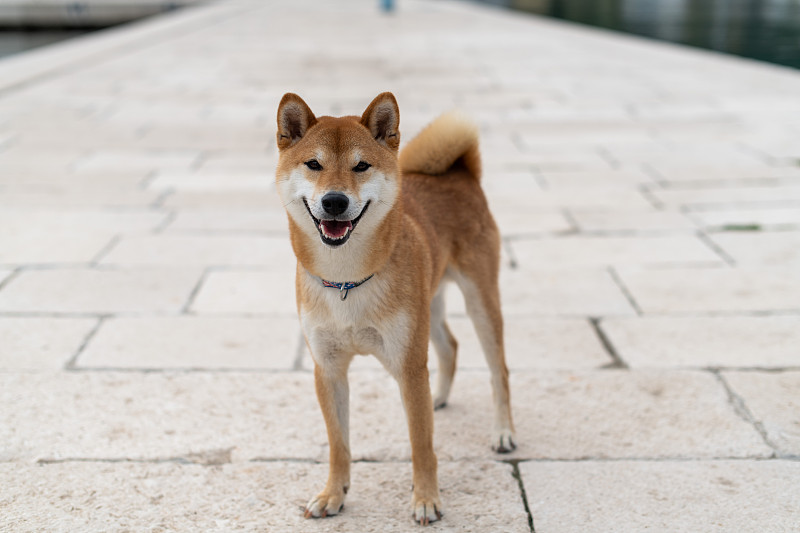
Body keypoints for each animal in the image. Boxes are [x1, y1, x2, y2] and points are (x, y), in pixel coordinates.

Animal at [276, 91, 512, 524]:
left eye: (361, 165)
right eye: (314, 164)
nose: (334, 201)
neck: (347, 281)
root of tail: (459, 173)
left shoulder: (408, 365)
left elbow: (421, 443)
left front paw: (426, 499)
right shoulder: (328, 369)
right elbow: (339, 443)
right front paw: (334, 494)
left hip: (480, 301)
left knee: (498, 369)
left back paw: (504, 432)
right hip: (429, 305)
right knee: (450, 346)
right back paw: (439, 396)